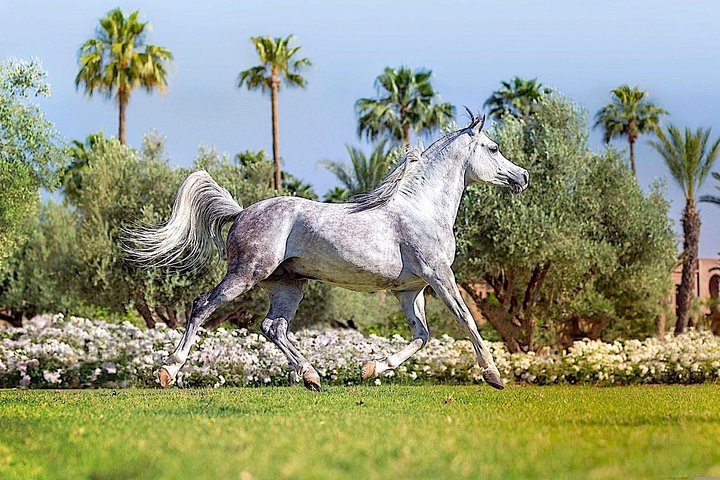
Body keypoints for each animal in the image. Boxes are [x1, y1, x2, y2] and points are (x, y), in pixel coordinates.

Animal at [124, 111, 529, 391]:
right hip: (246, 273)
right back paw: (168, 370)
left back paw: (311, 376)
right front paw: (493, 374)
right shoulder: (439, 274)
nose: (522, 177)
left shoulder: (409, 289)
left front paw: (372, 367)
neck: (421, 209)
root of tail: (241, 212)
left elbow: (421, 335)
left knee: (273, 327)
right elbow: (466, 319)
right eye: (493, 148)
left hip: (288, 285)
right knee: (203, 306)